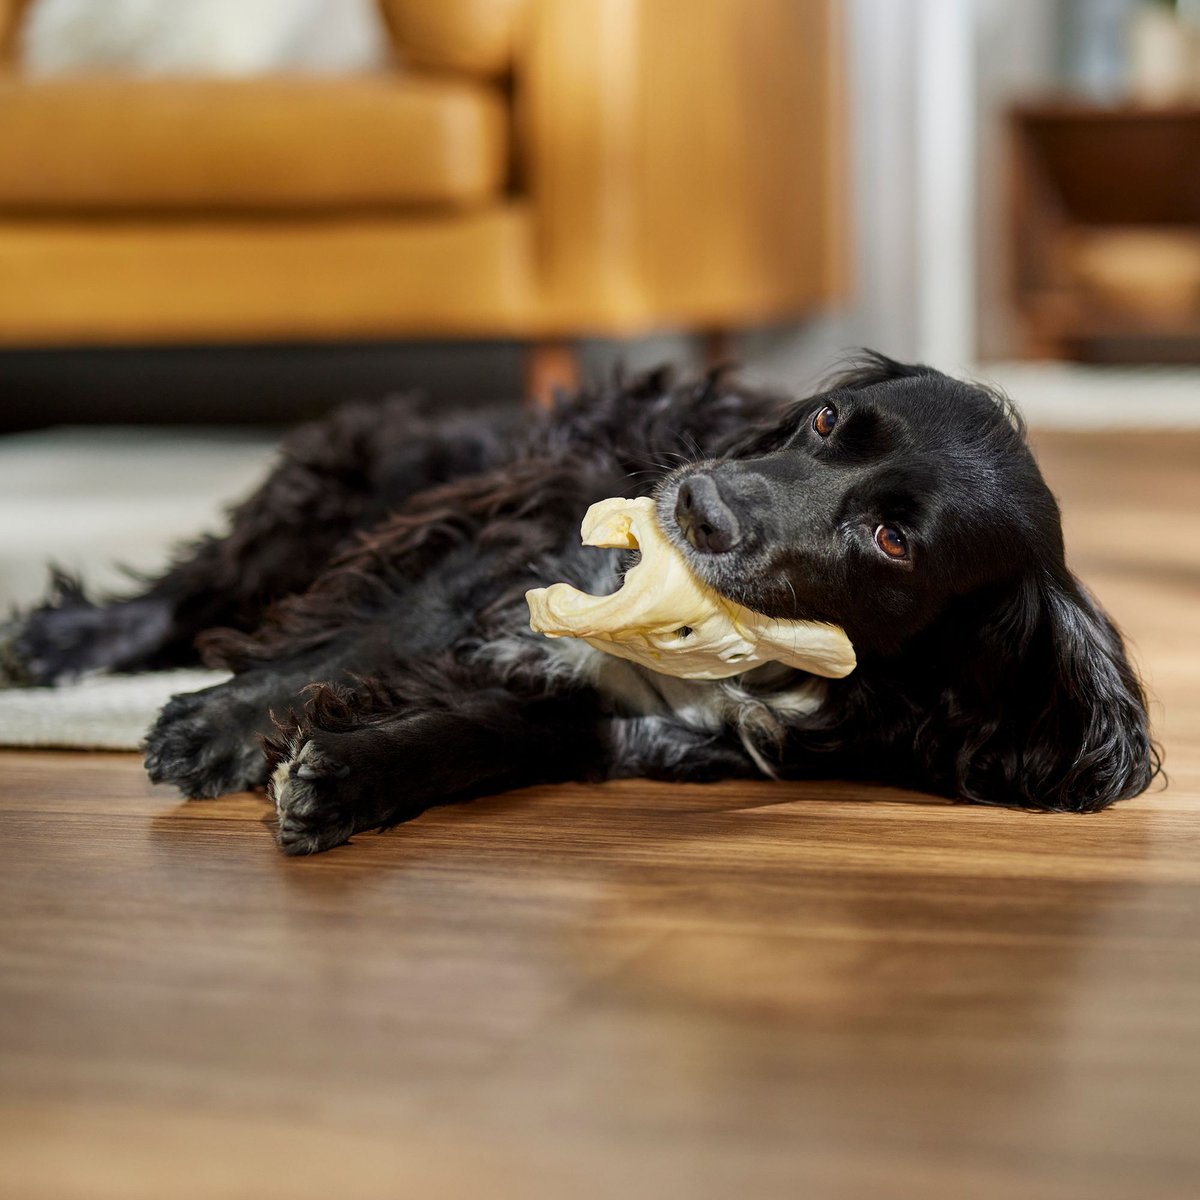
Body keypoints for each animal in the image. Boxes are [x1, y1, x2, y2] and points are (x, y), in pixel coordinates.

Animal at [4, 355, 1156, 854]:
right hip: (349, 490)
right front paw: (220, 724)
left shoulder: (604, 720)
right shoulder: (502, 542)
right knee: (194, 586)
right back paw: (62, 641)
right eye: (828, 419)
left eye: (891, 540)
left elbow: (469, 735)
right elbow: (370, 635)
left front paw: (344, 781)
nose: (699, 503)